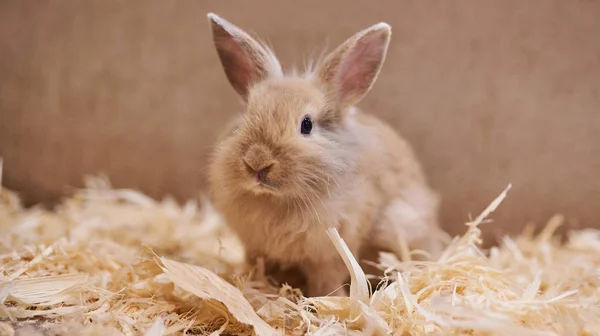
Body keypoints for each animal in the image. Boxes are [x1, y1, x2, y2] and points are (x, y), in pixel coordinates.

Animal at [206, 13, 446, 296]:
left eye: (306, 125)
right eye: (245, 118)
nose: (257, 162)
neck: (276, 200)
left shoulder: (329, 253)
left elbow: (327, 281)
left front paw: (329, 299)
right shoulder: (256, 249)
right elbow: (258, 269)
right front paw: (255, 287)